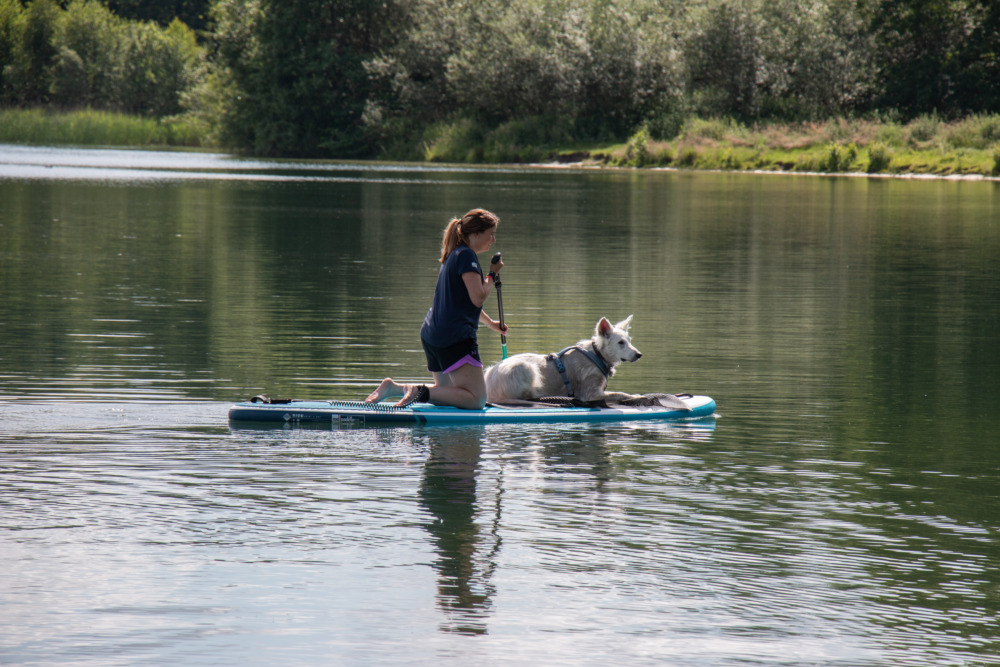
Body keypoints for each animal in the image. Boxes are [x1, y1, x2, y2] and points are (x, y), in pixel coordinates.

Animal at [486, 314, 644, 404]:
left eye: (629, 340)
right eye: (620, 343)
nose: (639, 355)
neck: (597, 354)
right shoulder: (590, 394)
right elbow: (619, 393)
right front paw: (636, 395)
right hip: (525, 367)